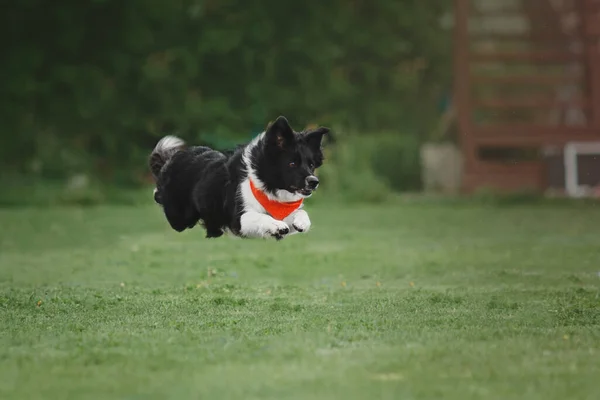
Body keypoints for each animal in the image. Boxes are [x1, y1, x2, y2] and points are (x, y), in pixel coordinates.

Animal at [148, 116, 330, 241]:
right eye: (292, 163)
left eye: (311, 165)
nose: (314, 182)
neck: (266, 185)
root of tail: (175, 157)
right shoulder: (239, 219)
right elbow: (261, 216)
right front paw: (276, 225)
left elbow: (299, 212)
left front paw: (302, 222)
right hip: (180, 217)